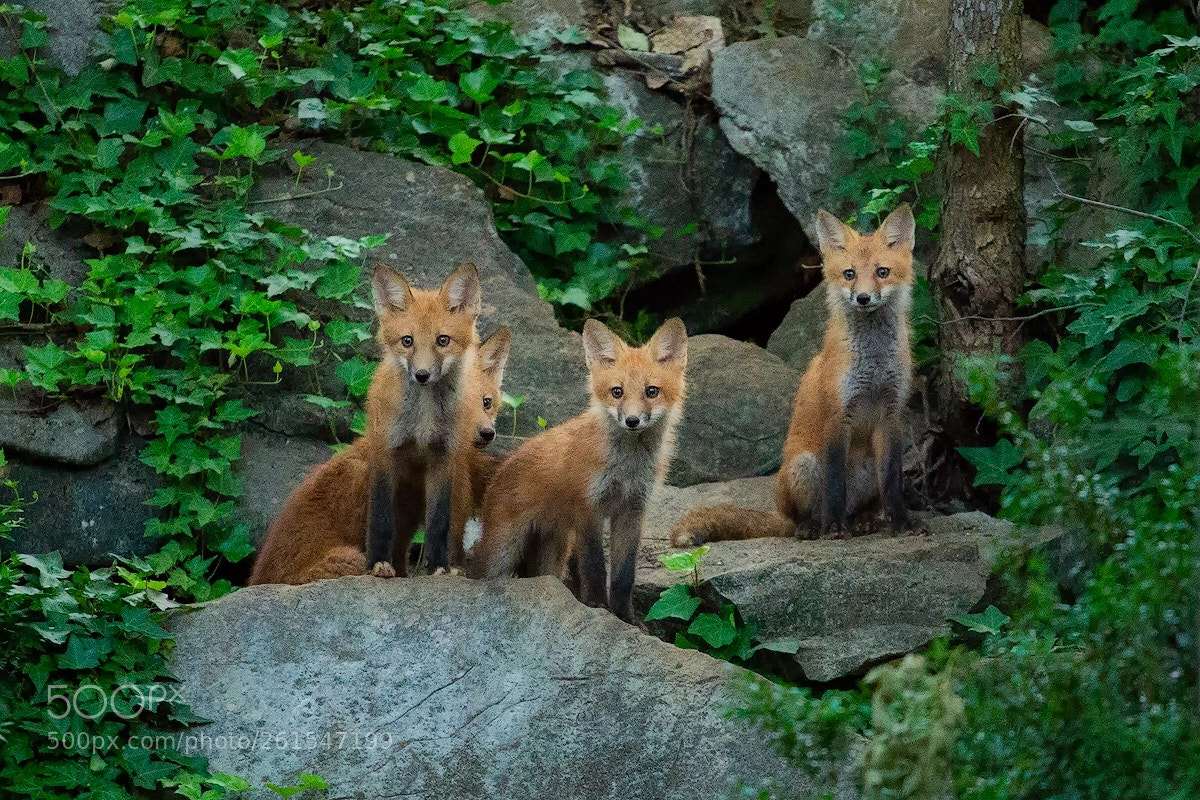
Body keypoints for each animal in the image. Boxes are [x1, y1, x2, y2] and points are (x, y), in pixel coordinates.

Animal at [472, 318, 688, 624]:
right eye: (617, 392)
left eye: (652, 391)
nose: (632, 420)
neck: (627, 468)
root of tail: (501, 467)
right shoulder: (588, 507)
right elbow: (595, 568)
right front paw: (597, 606)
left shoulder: (633, 510)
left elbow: (623, 576)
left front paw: (625, 617)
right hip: (502, 550)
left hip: (554, 553)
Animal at [670, 204, 916, 547]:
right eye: (849, 274)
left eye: (882, 272)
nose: (863, 298)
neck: (874, 359)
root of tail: (780, 512)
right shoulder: (838, 413)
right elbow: (835, 485)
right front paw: (834, 529)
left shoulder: (892, 413)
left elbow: (893, 483)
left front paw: (902, 523)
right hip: (804, 466)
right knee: (806, 516)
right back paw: (815, 527)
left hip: (868, 468)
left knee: (862, 506)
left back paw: (862, 521)